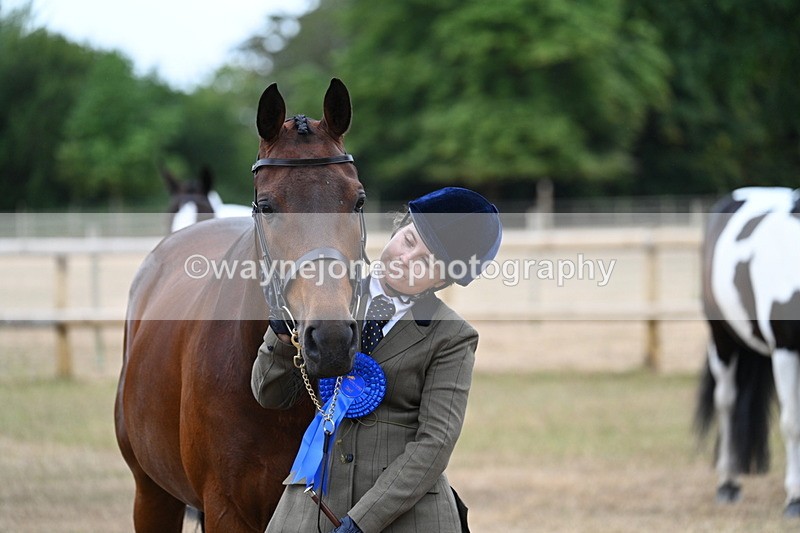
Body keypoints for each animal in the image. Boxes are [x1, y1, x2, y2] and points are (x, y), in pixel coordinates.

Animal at [695, 186, 800, 517]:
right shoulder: (786, 349)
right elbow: (793, 423)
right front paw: (795, 498)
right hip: (722, 342)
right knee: (726, 403)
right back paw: (728, 484)